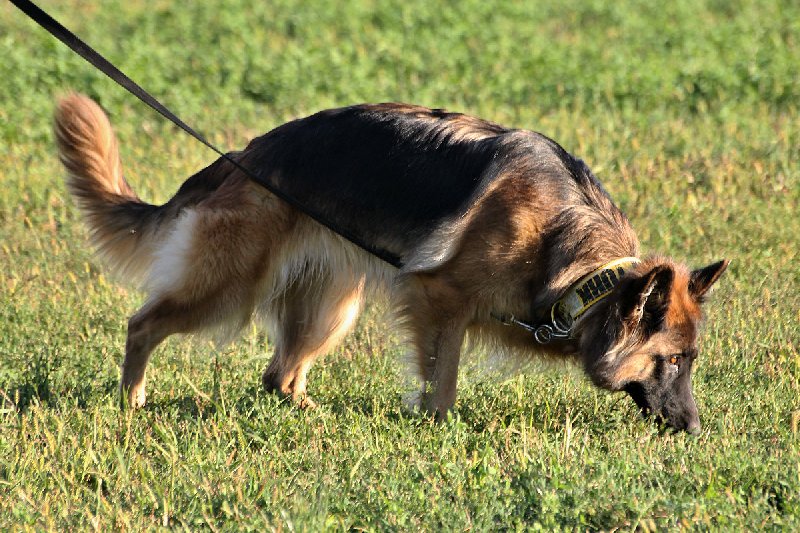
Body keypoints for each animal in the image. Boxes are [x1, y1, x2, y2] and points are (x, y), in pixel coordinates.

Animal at [57, 93, 732, 430]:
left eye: (689, 361)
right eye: (672, 361)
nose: (694, 430)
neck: (579, 265)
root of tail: (241, 157)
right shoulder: (438, 300)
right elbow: (442, 386)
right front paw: (436, 431)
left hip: (332, 307)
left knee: (279, 375)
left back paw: (312, 415)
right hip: (230, 286)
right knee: (143, 323)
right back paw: (131, 401)